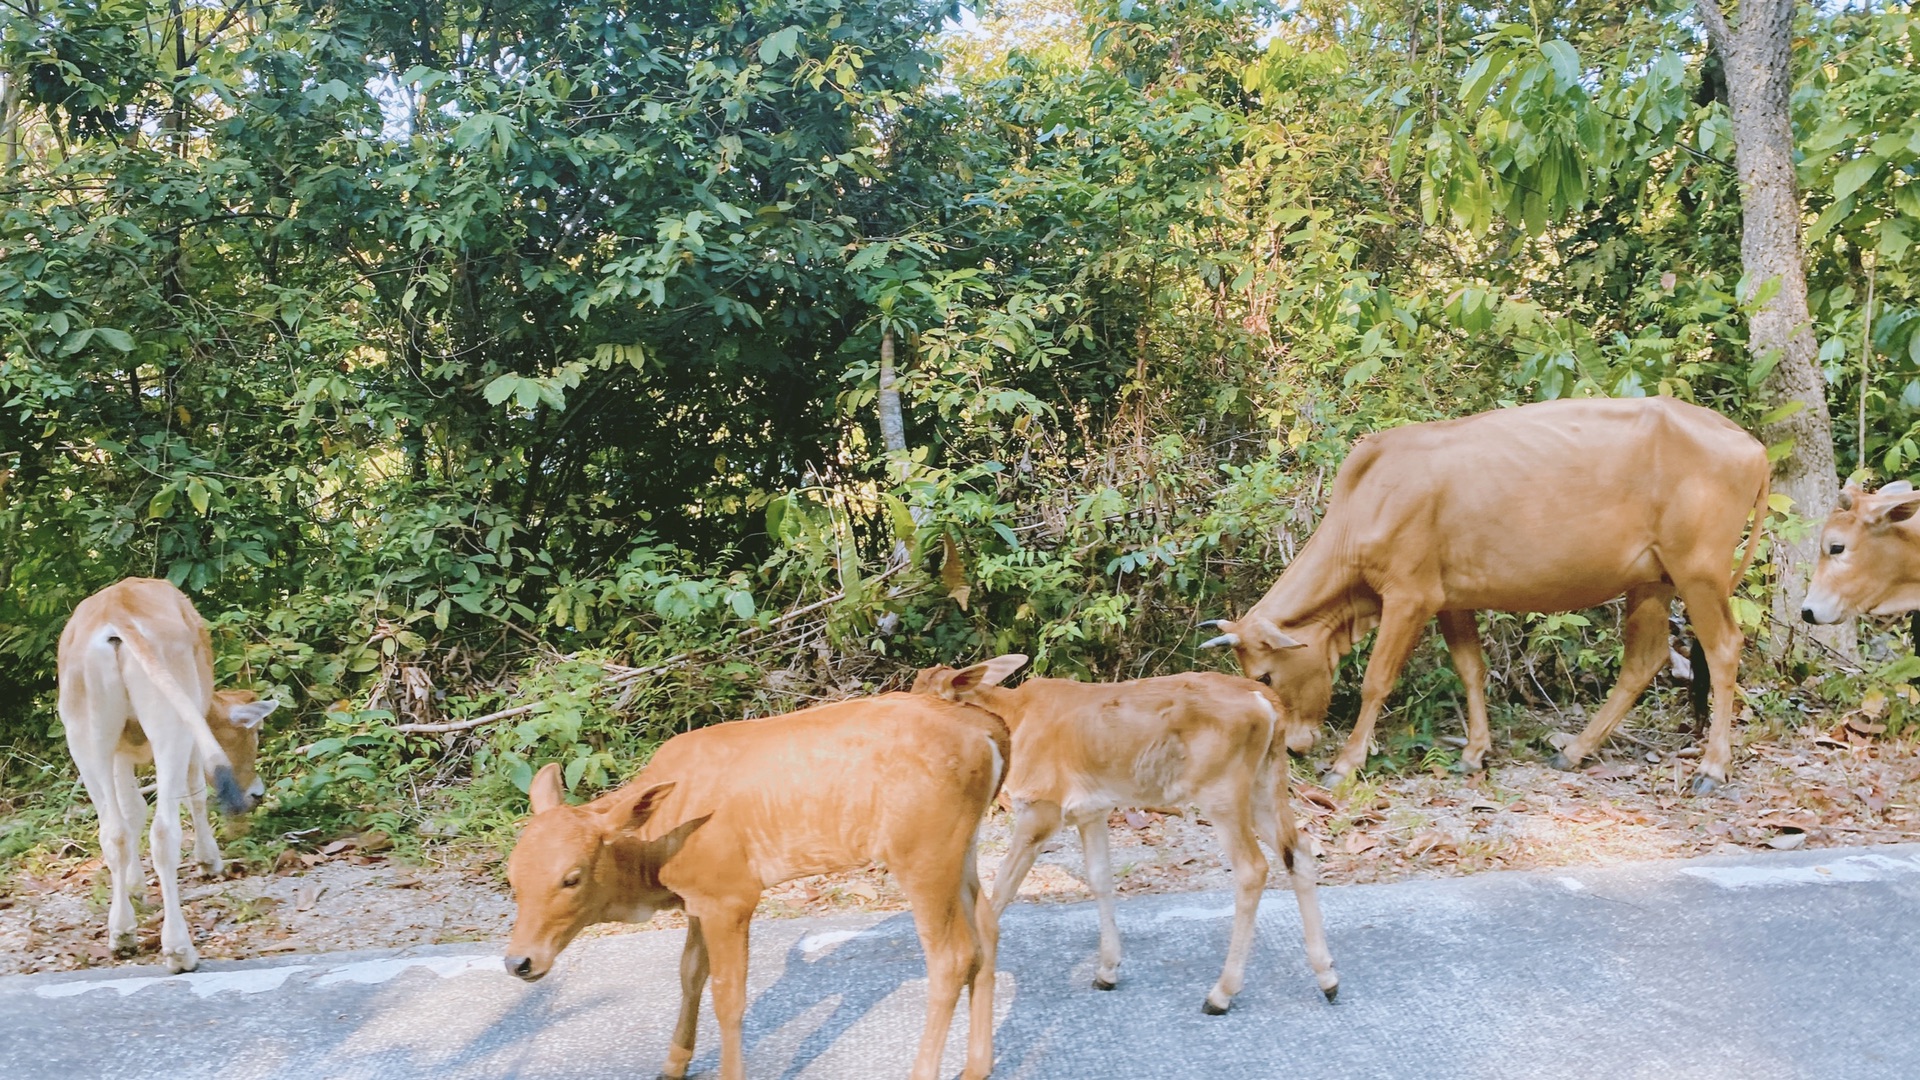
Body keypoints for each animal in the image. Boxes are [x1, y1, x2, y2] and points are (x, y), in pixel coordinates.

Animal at [56, 576, 280, 972]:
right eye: (255, 733)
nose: (257, 793)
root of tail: (117, 615)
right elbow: (195, 793)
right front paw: (209, 861)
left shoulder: (119, 752)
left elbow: (131, 812)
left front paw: (134, 888)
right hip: (171, 722)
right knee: (164, 831)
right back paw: (179, 949)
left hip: (83, 733)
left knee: (112, 831)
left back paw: (122, 934)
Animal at [503, 687, 1013, 1076]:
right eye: (512, 877)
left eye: (571, 877)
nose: (519, 962)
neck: (656, 845)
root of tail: (988, 729)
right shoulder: (699, 899)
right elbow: (690, 975)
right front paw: (673, 1065)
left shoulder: (732, 895)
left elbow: (729, 997)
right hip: (960, 848)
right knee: (987, 929)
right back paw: (977, 1066)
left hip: (922, 855)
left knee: (952, 956)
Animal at [910, 653, 1336, 1014]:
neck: (1013, 721)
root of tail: (1266, 700)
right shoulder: (1092, 811)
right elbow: (1100, 879)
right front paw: (1107, 970)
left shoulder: (1041, 809)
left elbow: (1000, 890)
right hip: (1265, 783)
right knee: (1298, 850)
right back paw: (1327, 976)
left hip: (1223, 792)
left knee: (1252, 869)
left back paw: (1221, 993)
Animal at [1198, 395, 1766, 791]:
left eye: (1264, 675)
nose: (1293, 748)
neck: (1364, 504)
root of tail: (1751, 442)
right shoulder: (1451, 599)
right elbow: (1471, 669)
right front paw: (1474, 754)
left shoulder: (1409, 596)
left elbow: (1376, 682)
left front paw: (1346, 764)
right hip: (1650, 582)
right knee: (1644, 660)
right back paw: (1574, 750)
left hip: (1699, 572)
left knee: (1723, 649)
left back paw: (1713, 769)